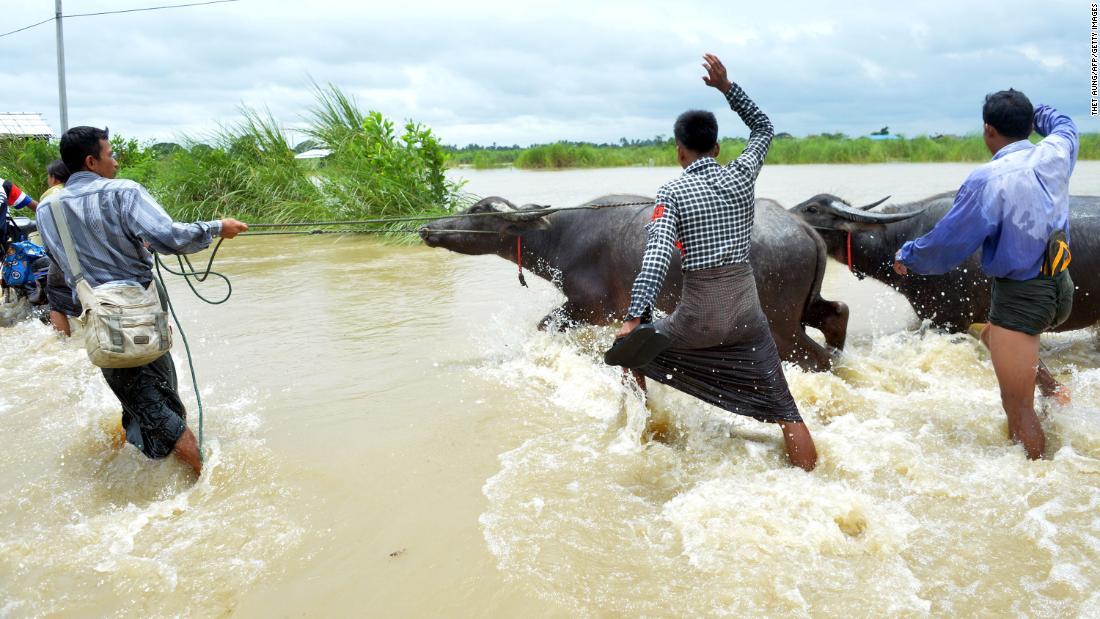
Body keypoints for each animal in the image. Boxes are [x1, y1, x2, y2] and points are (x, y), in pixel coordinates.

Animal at [420, 193, 849, 371]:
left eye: (477, 212)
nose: (428, 227)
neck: (559, 235)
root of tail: (805, 230)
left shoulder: (588, 307)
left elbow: (545, 324)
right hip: (806, 308)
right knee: (837, 313)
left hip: (779, 324)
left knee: (814, 358)